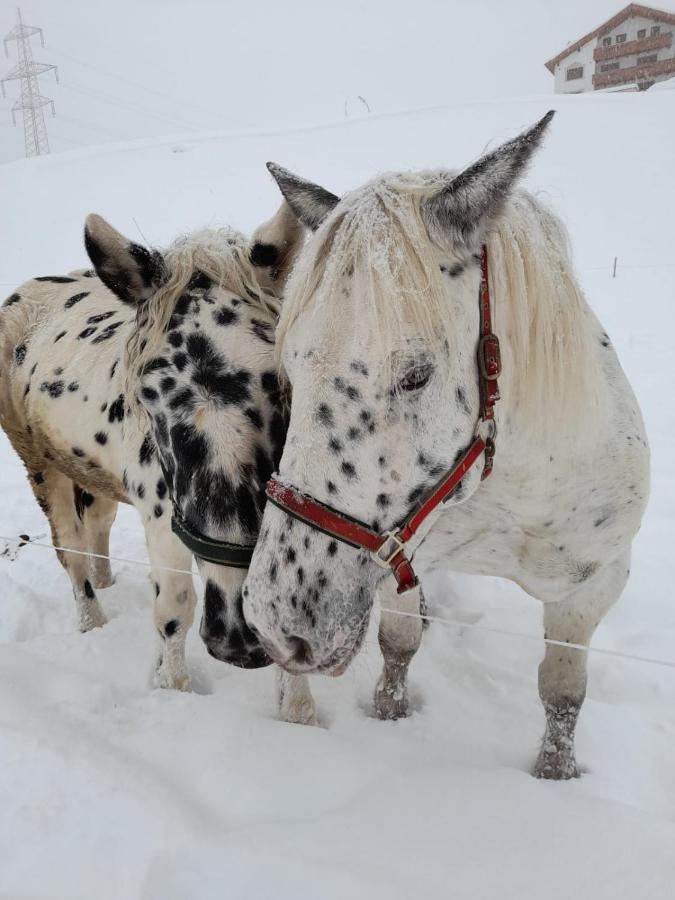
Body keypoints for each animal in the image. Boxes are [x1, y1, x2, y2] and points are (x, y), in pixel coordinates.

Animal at [0, 207, 320, 720]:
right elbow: (174, 610)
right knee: (71, 550)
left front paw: (298, 714)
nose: (237, 640)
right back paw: (93, 621)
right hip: (41, 466)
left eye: (279, 381)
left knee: (98, 527)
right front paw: (173, 688)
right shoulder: (162, 522)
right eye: (148, 395)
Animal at [240, 110, 652, 772]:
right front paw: (390, 716)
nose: (278, 623)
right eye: (290, 373)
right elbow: (398, 644)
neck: (512, 487)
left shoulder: (592, 588)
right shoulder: (400, 560)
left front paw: (555, 775)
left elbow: (563, 694)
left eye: (415, 375)